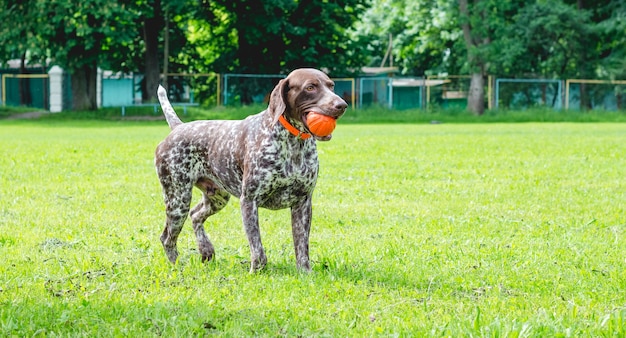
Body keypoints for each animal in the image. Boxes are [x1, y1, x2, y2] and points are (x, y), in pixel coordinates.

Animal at [151, 68, 346, 272]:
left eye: (331, 85)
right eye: (310, 87)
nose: (342, 105)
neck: (293, 144)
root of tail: (178, 128)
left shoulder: (303, 203)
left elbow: (301, 247)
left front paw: (305, 273)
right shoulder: (249, 201)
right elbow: (257, 248)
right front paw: (256, 272)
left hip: (217, 197)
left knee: (195, 215)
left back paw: (206, 249)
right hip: (178, 200)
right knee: (167, 238)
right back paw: (177, 267)